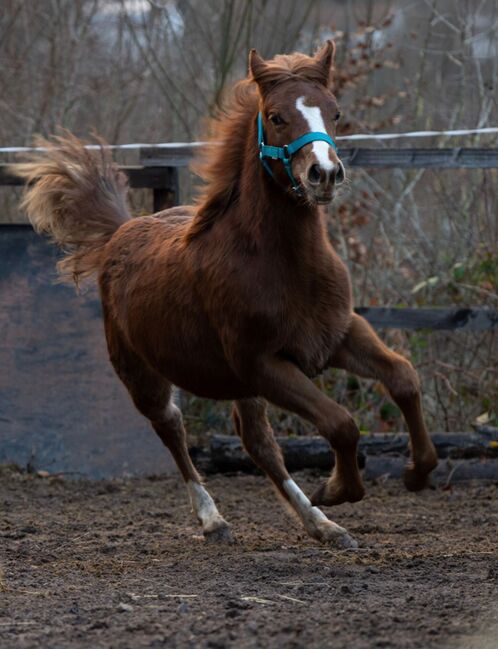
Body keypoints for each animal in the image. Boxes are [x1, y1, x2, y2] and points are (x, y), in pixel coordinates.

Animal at [14, 41, 436, 548]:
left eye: (335, 113)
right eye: (276, 116)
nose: (324, 174)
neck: (283, 264)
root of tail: (121, 231)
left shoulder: (338, 334)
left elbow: (403, 377)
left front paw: (417, 472)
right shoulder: (262, 363)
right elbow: (341, 423)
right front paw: (336, 489)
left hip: (241, 387)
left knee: (259, 445)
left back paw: (322, 526)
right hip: (144, 375)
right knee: (173, 428)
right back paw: (215, 519)